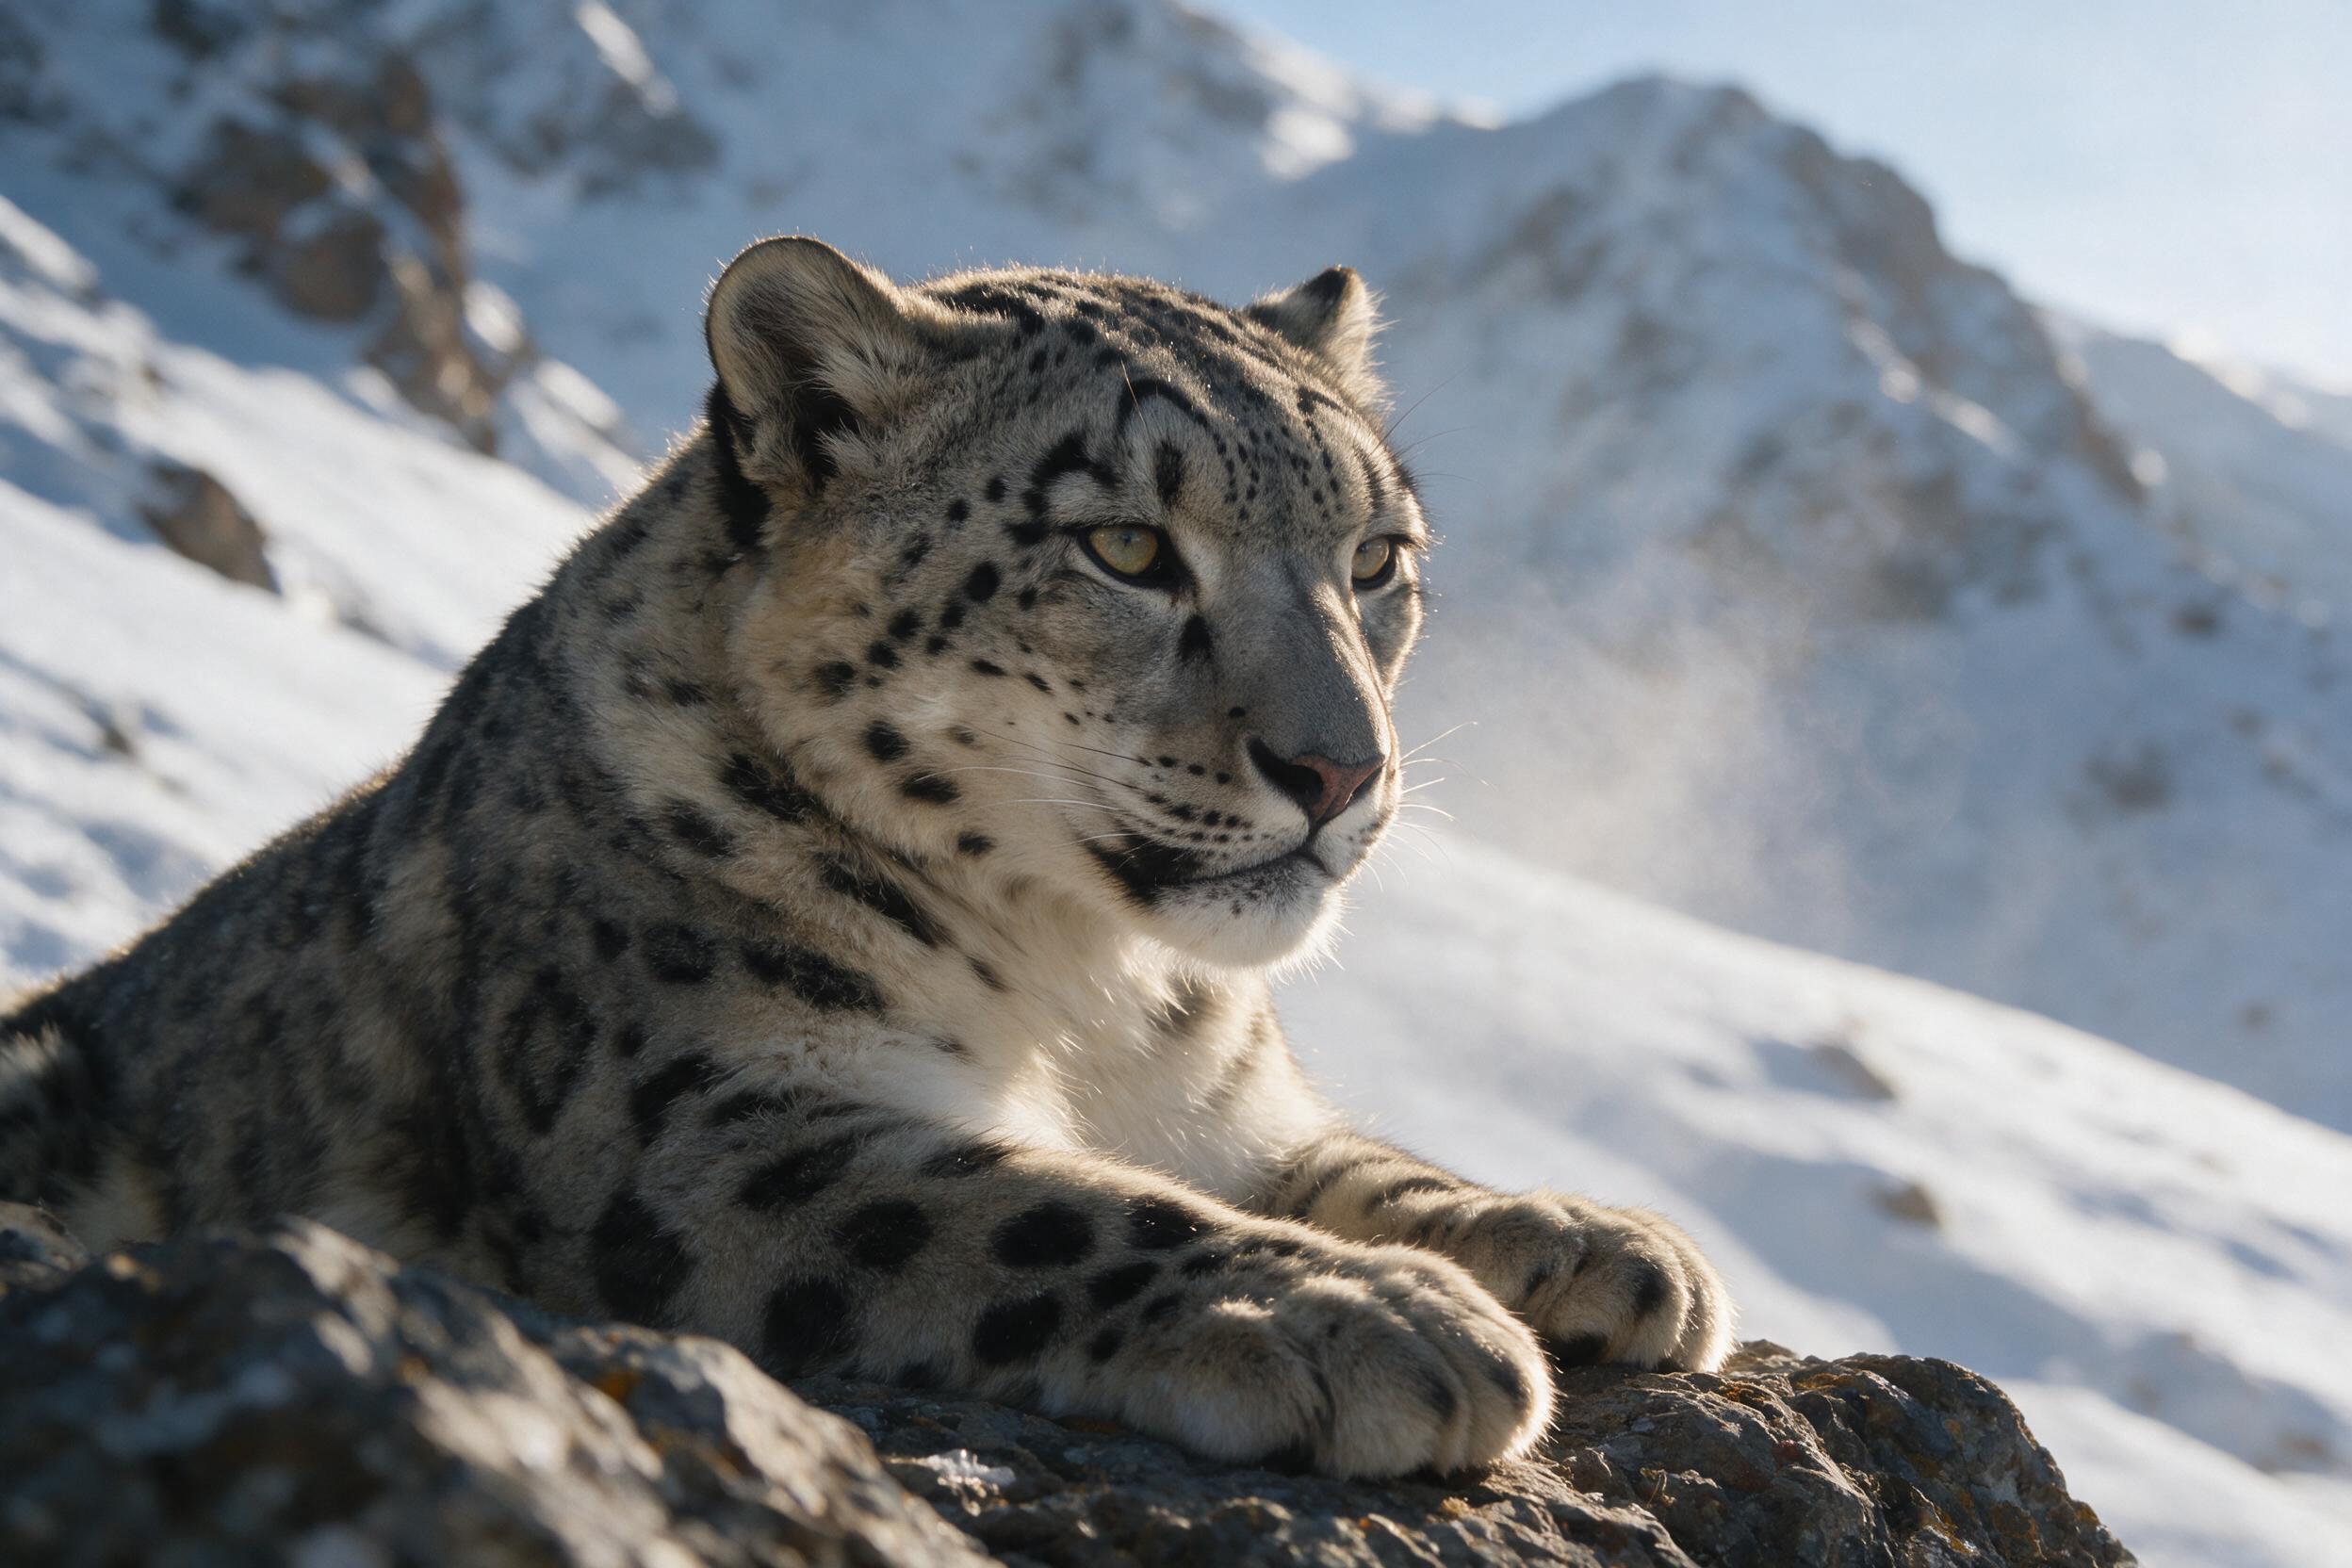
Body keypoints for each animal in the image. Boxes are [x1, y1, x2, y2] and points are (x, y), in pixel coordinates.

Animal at [0, 237, 1733, 1478]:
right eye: (1124, 543)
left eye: (1377, 560)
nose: (1341, 769)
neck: (1086, 996)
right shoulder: (695, 1126)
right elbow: (1032, 1205)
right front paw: (1364, 1312)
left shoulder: (1229, 1110)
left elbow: (1344, 1159)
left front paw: (1599, 1243)